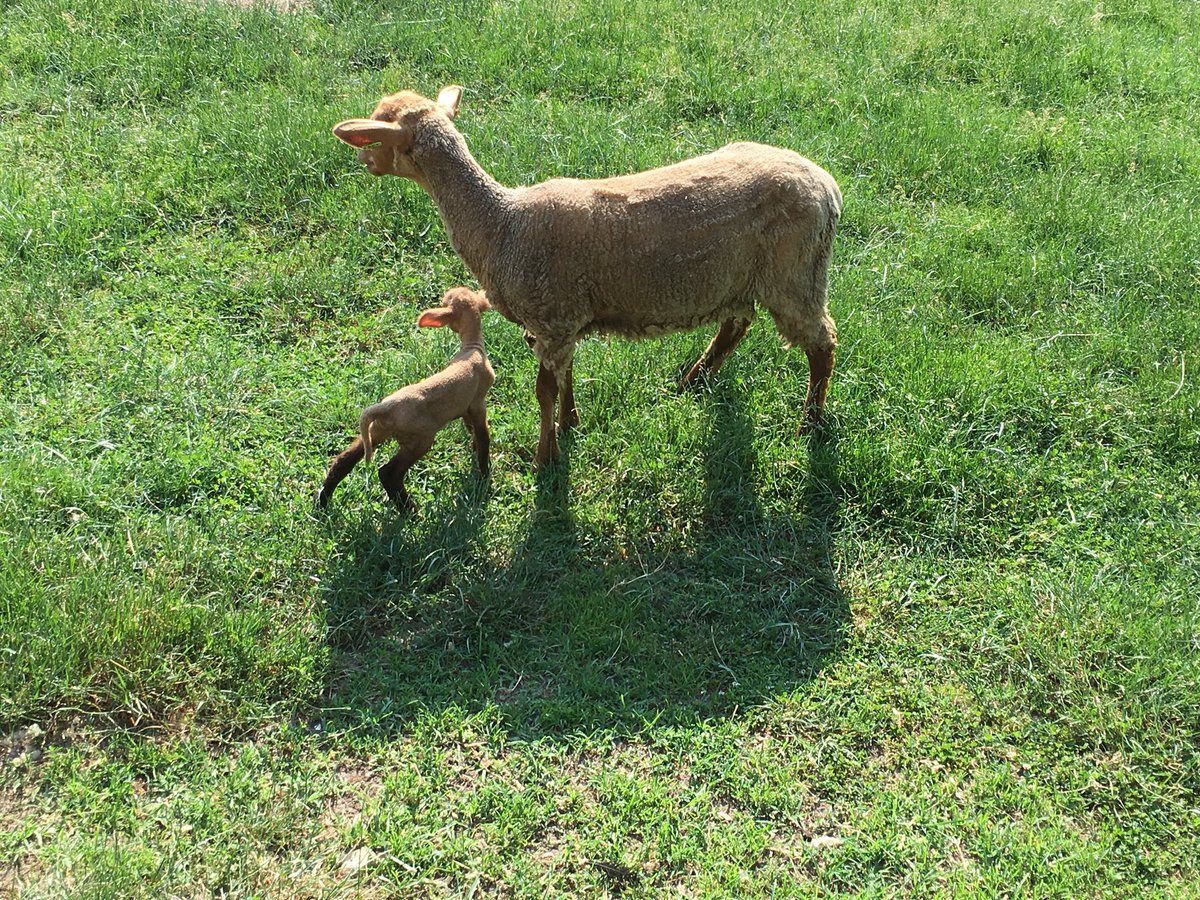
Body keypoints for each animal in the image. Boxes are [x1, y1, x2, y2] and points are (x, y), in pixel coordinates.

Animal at [316, 287, 495, 509]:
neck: (472, 347)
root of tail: (386, 407)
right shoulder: (478, 402)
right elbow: (483, 437)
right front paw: (484, 475)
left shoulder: (466, 407)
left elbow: (473, 433)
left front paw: (474, 453)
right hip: (419, 439)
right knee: (388, 473)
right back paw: (410, 511)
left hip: (377, 431)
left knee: (344, 459)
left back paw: (323, 501)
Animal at [333, 86, 842, 467]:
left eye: (376, 133)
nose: (362, 164)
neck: (500, 224)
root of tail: (827, 187)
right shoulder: (561, 322)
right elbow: (565, 377)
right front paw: (570, 423)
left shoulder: (552, 318)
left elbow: (543, 391)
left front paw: (546, 456)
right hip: (738, 276)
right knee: (738, 323)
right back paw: (692, 381)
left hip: (796, 272)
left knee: (822, 341)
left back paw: (810, 420)